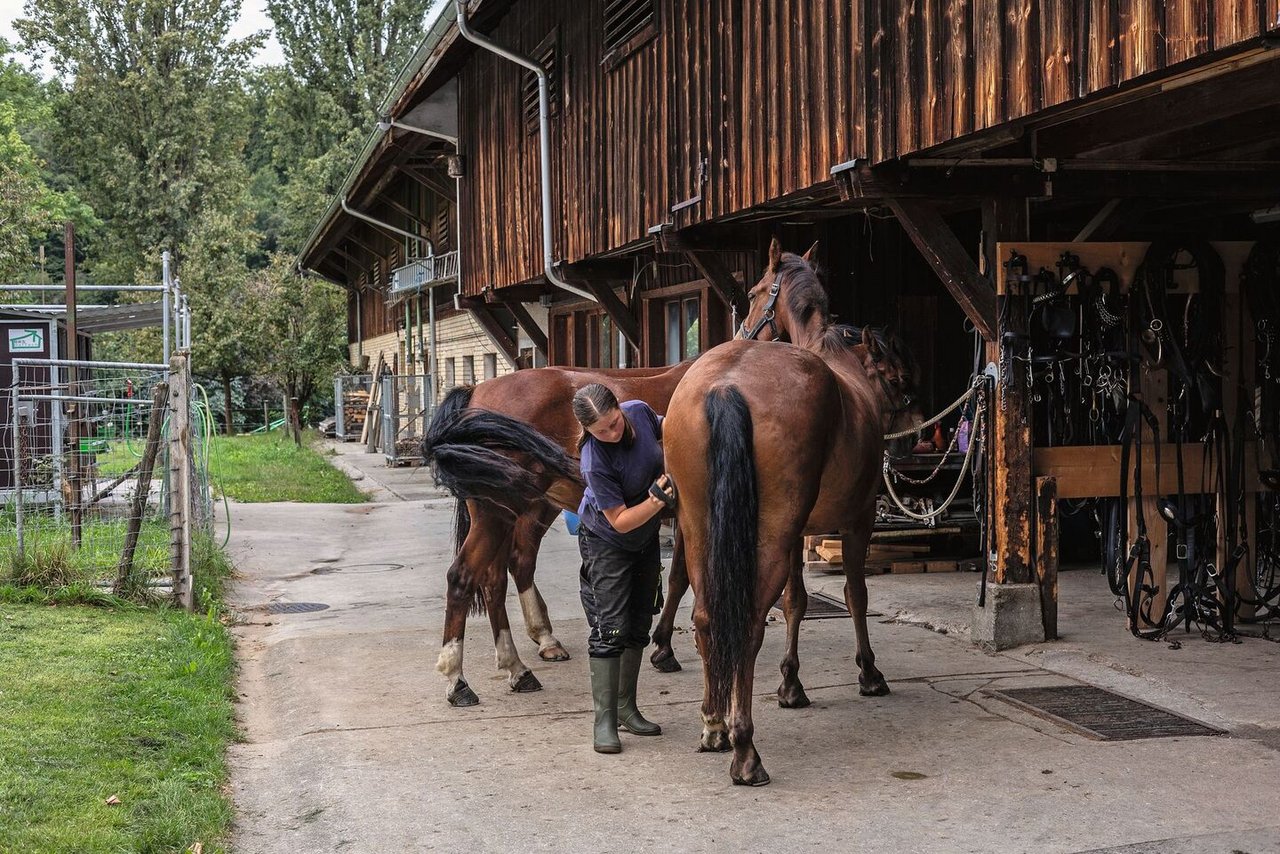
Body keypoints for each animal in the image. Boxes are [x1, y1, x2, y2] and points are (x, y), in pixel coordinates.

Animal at [660, 240, 921, 788]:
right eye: (896, 378)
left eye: (754, 292)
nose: (911, 438)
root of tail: (725, 385)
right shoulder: (856, 521)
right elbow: (854, 595)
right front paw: (868, 672)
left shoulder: (801, 532)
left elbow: (797, 603)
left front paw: (791, 684)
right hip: (773, 533)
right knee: (749, 624)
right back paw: (744, 749)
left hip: (701, 528)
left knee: (706, 614)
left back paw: (714, 724)